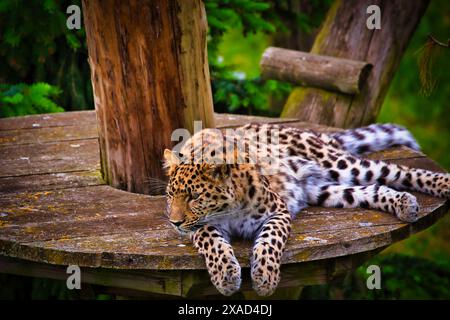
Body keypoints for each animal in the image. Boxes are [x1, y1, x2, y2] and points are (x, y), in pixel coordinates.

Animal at [163, 123, 448, 298]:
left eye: (194, 197)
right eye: (170, 195)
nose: (174, 223)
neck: (229, 211)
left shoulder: (277, 211)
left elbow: (269, 242)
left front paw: (264, 277)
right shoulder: (201, 227)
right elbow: (213, 243)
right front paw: (226, 275)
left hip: (338, 163)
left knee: (396, 171)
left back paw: (441, 185)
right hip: (326, 190)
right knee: (372, 190)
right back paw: (404, 203)